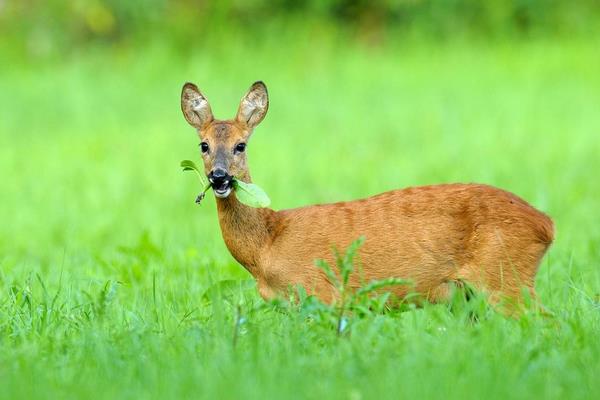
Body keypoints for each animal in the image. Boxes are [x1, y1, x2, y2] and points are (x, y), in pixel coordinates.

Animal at [180, 79, 556, 308]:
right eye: (204, 145)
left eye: (240, 145)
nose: (219, 177)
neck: (267, 246)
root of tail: (546, 225)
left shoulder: (322, 294)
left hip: (505, 277)